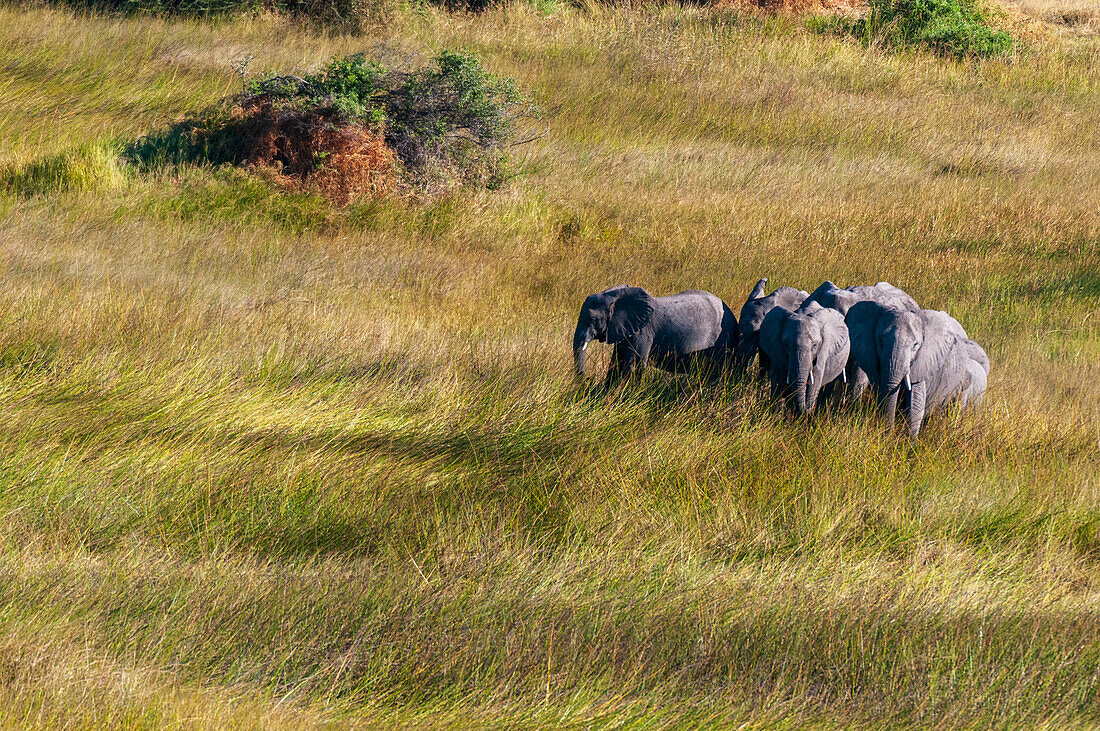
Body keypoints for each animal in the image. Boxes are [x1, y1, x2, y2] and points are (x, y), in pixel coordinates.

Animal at [576, 283, 739, 382]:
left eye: (593, 319)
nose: (586, 380)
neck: (617, 295)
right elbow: (616, 362)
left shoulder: (643, 332)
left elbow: (633, 366)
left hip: (721, 341)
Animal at [844, 301, 994, 435]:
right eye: (880, 340)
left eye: (915, 345)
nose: (888, 433)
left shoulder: (924, 363)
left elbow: (916, 404)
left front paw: (909, 444)